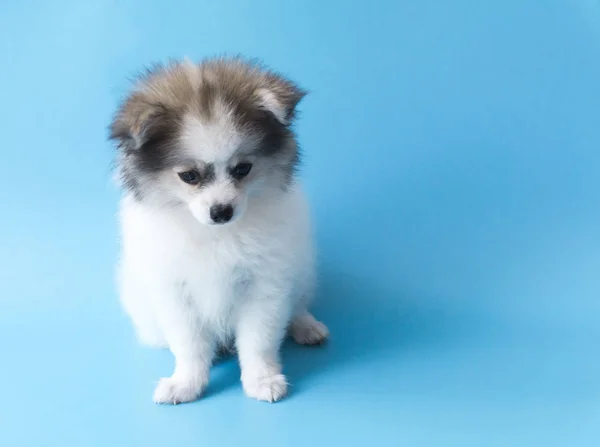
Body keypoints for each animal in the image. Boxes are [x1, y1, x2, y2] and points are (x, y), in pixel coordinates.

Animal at [110, 57, 330, 404]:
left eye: (243, 169)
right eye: (188, 176)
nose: (221, 211)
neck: (215, 235)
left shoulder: (264, 285)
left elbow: (258, 339)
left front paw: (262, 380)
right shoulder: (174, 290)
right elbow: (189, 344)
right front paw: (186, 383)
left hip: (303, 269)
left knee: (297, 304)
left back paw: (306, 326)